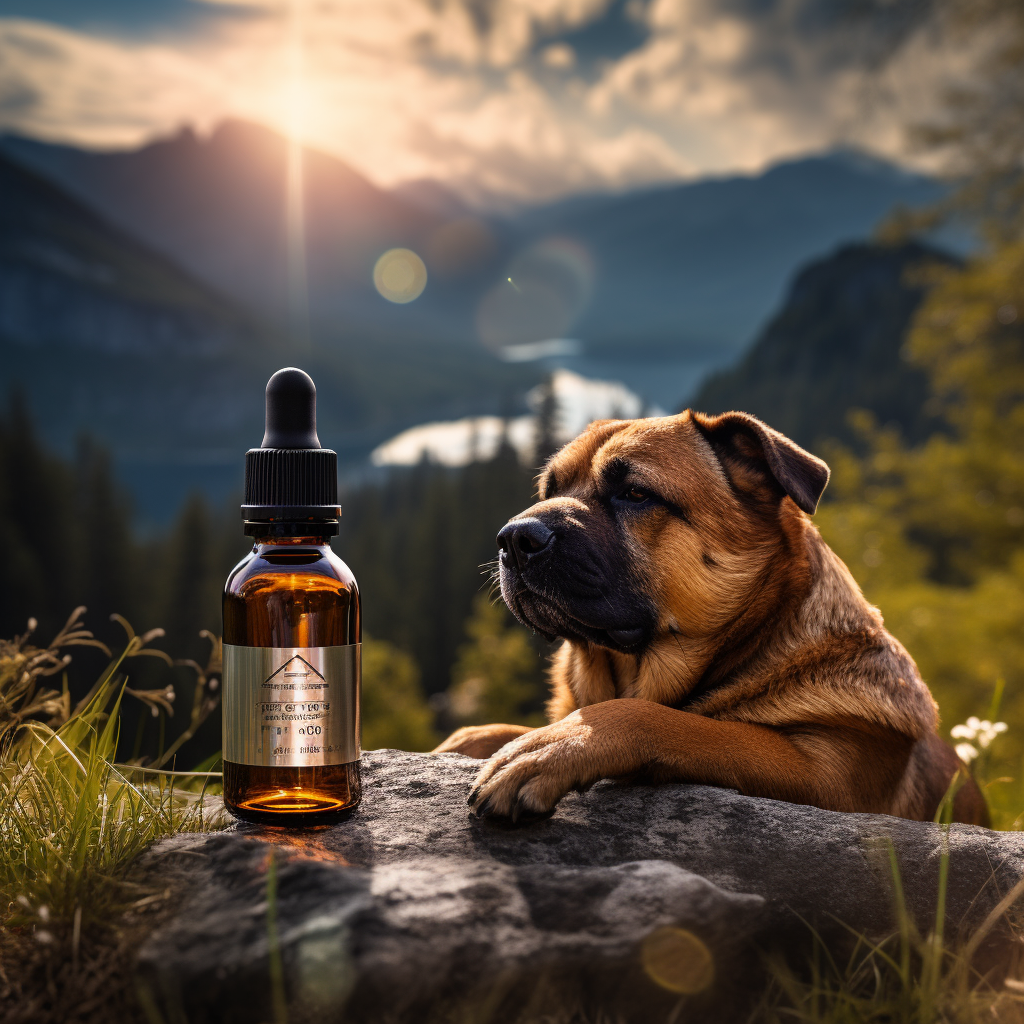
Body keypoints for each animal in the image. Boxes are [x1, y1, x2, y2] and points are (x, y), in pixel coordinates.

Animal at [434, 407, 991, 823]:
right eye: (549, 491)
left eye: (635, 493)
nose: (514, 539)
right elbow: (495, 730)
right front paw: (478, 740)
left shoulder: (830, 776)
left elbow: (666, 720)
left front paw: (553, 747)